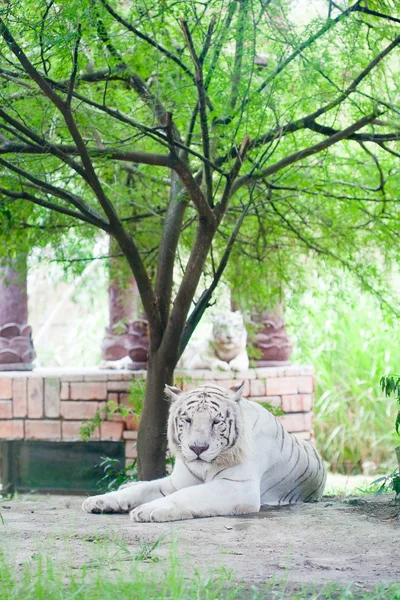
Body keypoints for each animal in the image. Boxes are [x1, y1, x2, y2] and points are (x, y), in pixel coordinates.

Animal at [81, 384, 324, 520]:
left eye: (216, 421)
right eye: (187, 420)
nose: (198, 448)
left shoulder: (237, 487)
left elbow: (186, 495)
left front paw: (148, 510)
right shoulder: (176, 482)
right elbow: (139, 491)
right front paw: (98, 501)